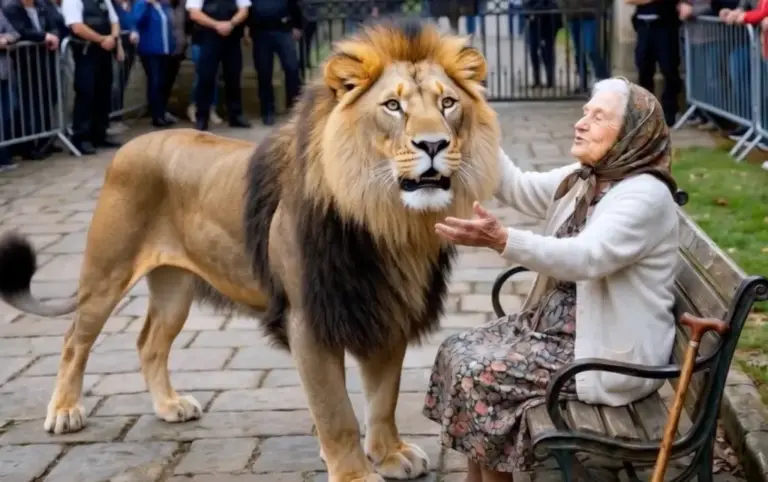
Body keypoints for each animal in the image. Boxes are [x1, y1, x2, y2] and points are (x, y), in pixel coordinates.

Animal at [0, 19, 500, 482]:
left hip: (175, 288)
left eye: (447, 103)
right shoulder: (309, 320)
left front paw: (390, 454)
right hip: (106, 273)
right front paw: (354, 473)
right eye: (393, 106)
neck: (385, 219)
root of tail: (130, 146)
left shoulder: (385, 306)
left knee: (149, 342)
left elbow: (383, 397)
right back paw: (65, 411)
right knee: (74, 340)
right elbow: (335, 412)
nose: (433, 144)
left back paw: (170, 406)